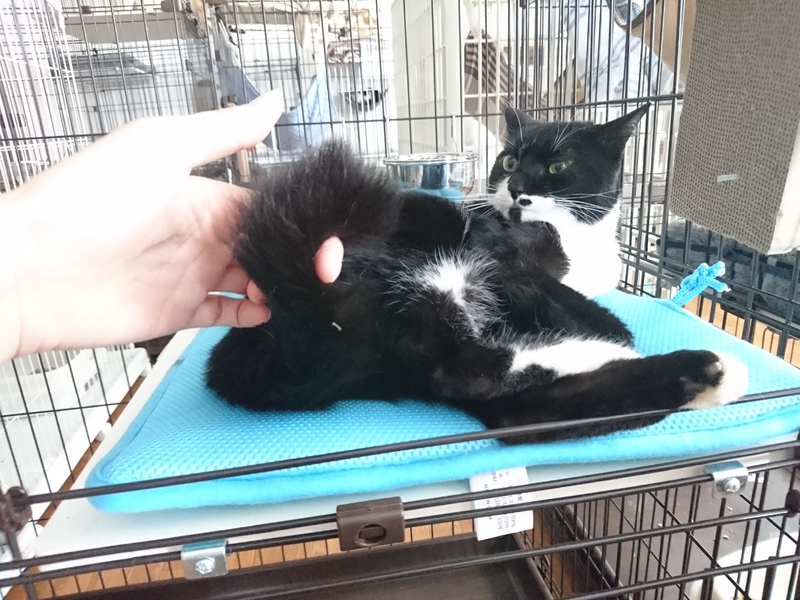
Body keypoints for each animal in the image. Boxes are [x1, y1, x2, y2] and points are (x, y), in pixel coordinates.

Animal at [205, 109, 748, 444]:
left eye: (558, 165)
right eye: (508, 160)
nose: (518, 186)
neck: (579, 240)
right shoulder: (499, 253)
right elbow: (565, 295)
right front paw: (610, 326)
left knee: (513, 409)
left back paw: (705, 376)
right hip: (432, 278)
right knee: (473, 372)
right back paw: (687, 363)